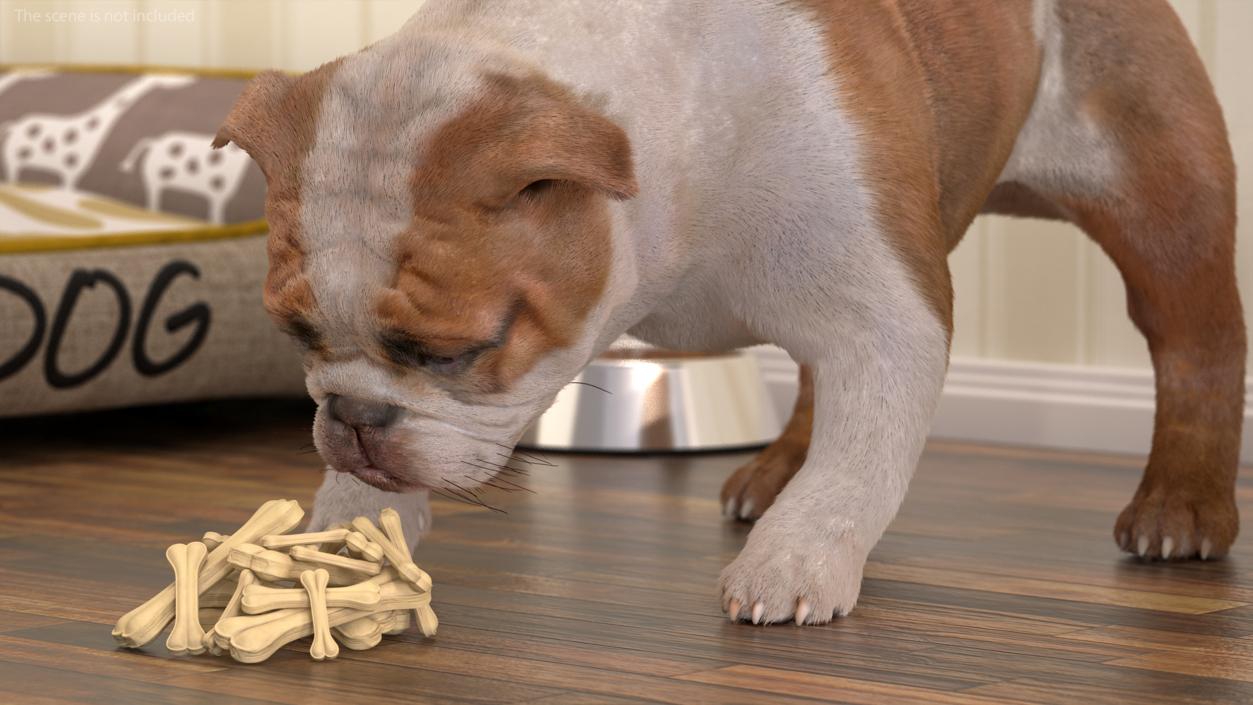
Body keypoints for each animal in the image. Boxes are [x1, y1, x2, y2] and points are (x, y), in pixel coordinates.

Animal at [218, 1, 1242, 628]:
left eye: (458, 351)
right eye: (298, 334)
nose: (354, 418)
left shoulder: (883, 313)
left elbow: (860, 460)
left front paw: (796, 561)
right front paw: (344, 530)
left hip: (1153, 193)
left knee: (1197, 342)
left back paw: (1181, 505)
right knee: (814, 383)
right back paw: (775, 474)